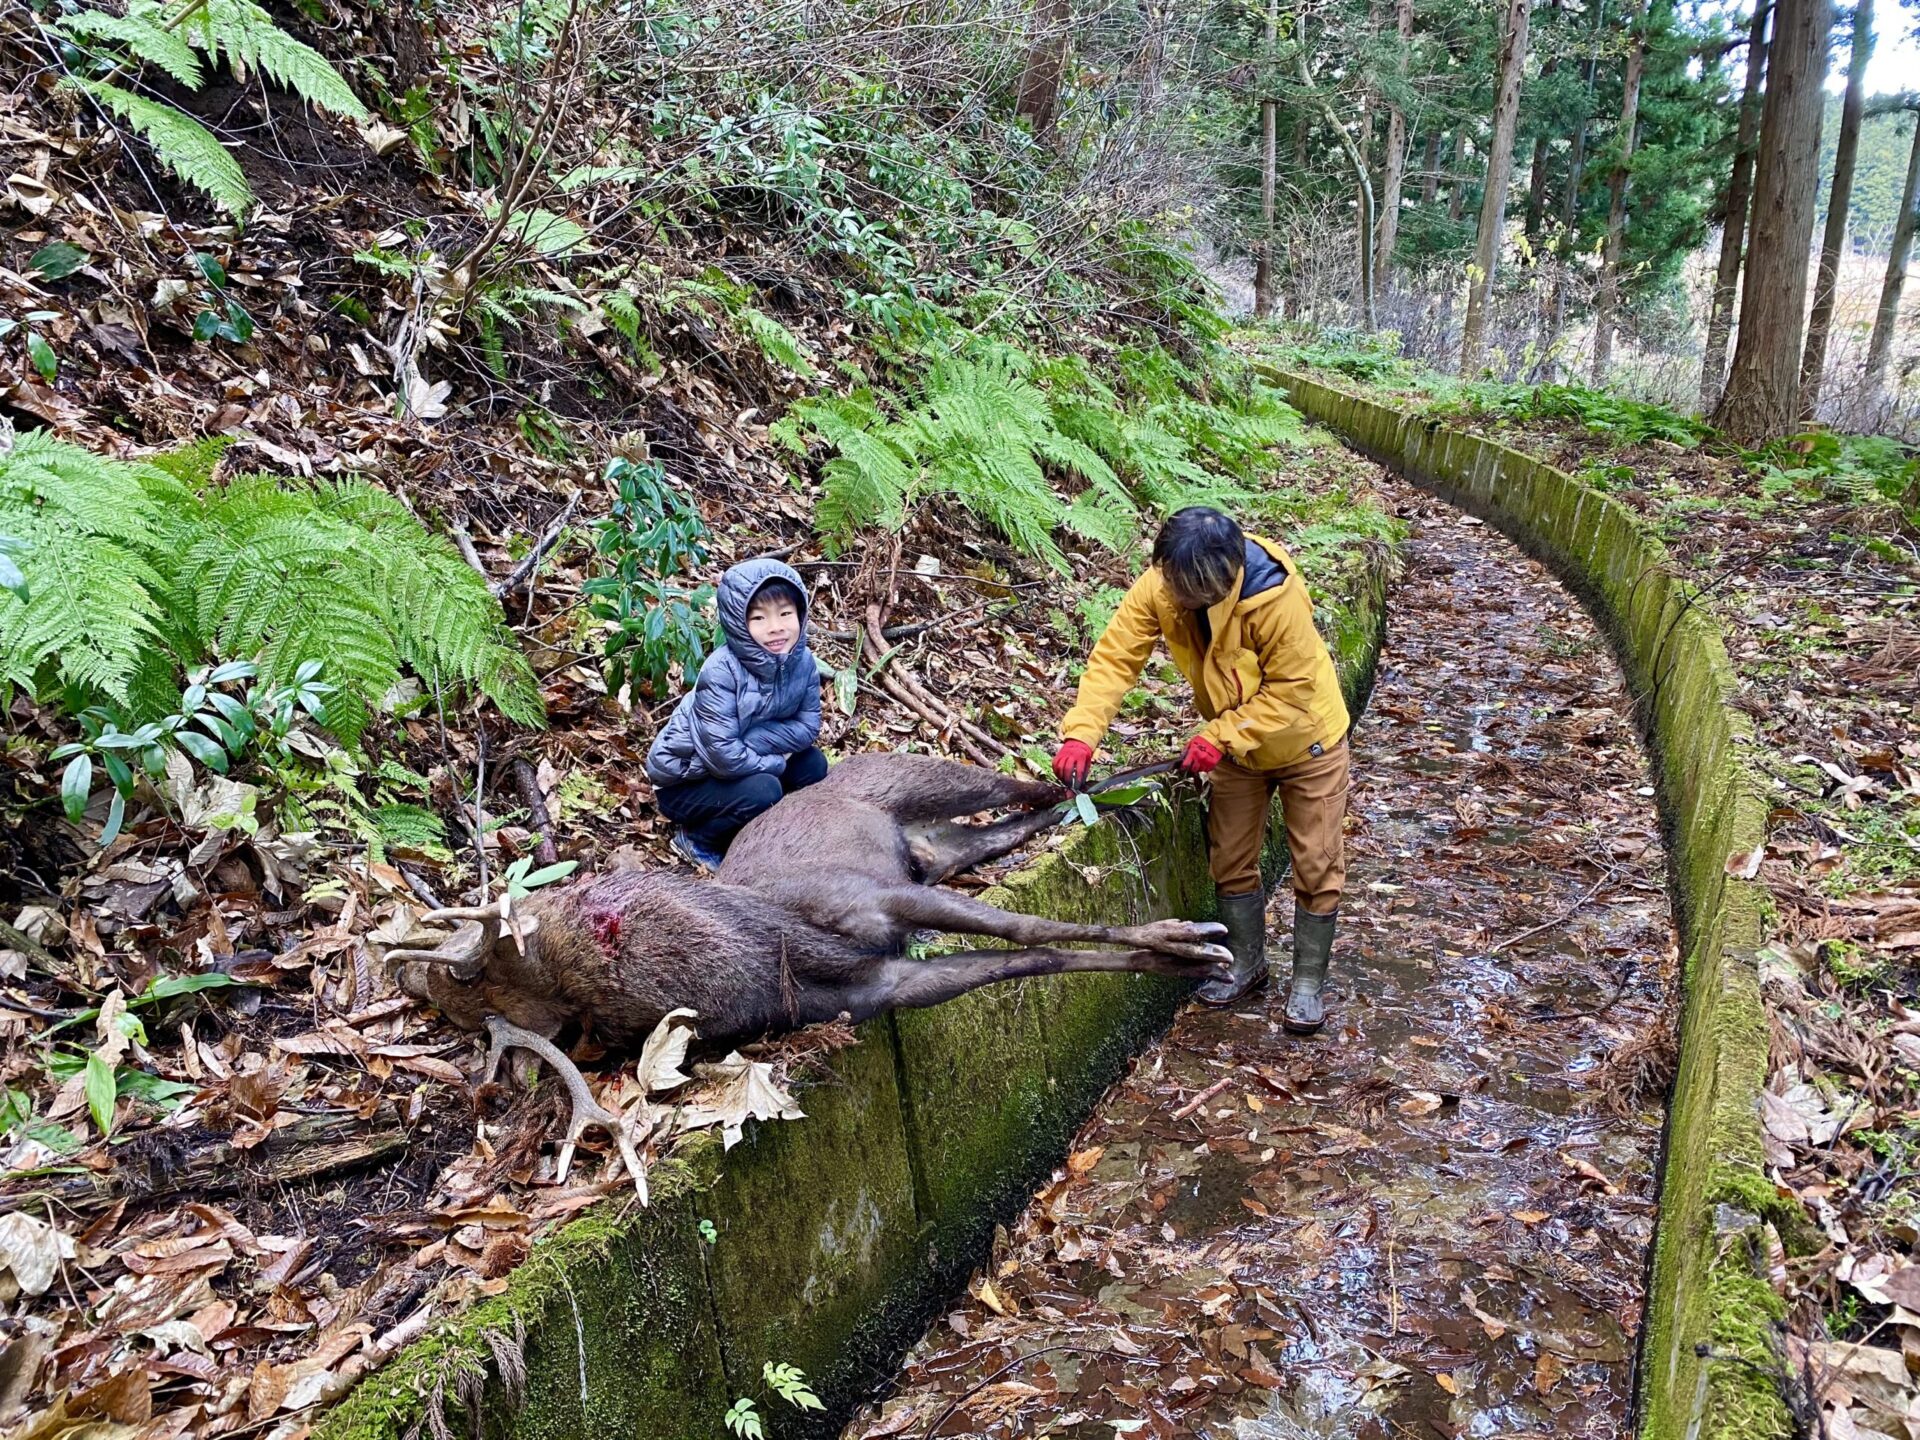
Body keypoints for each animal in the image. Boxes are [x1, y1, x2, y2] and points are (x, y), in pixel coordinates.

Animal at [385, 748, 1228, 1190]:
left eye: (484, 968)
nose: (419, 981)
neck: (772, 960)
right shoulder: (883, 982)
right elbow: (1032, 957)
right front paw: (1171, 955)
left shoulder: (879, 899)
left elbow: (1031, 925)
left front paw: (1187, 935)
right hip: (946, 851)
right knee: (1026, 821)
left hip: (922, 784)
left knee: (1035, 783)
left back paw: (1161, 762)